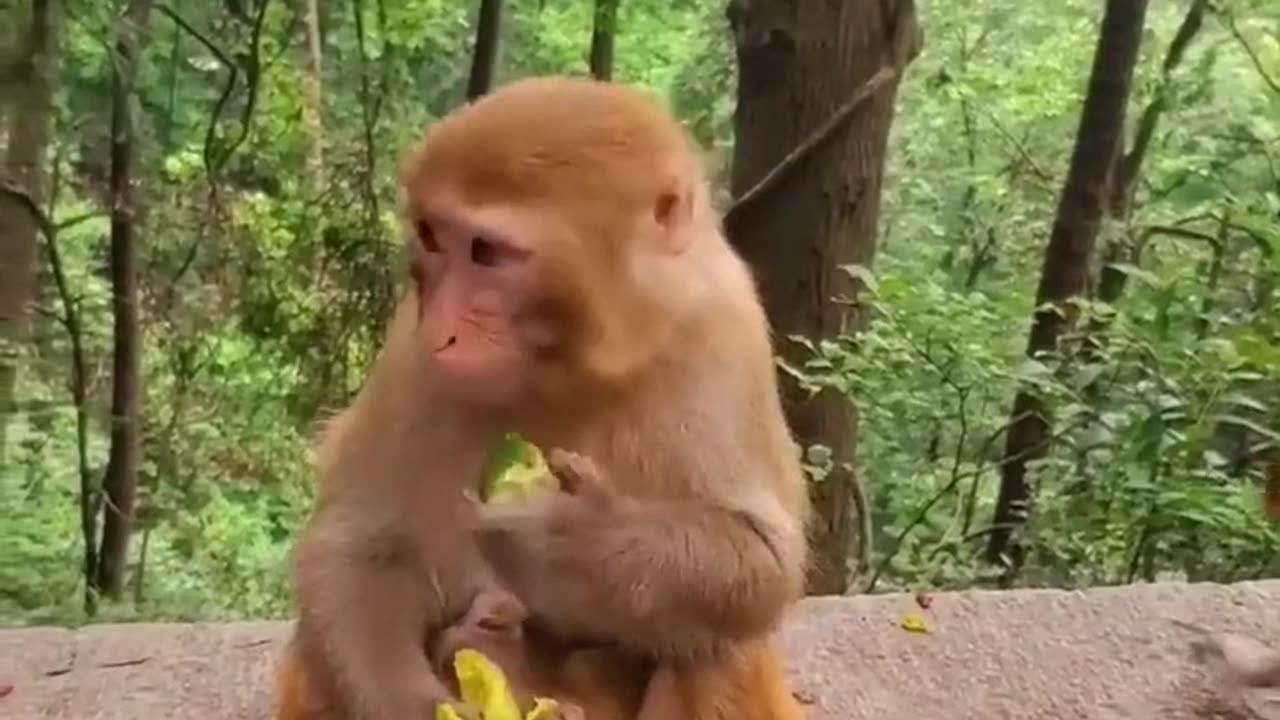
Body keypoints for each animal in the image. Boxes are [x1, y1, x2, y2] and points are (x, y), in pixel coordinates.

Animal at [272, 74, 808, 717]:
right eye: (432, 237)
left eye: (485, 251)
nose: (443, 328)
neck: (573, 365)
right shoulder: (410, 343)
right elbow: (357, 550)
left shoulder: (725, 326)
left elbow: (760, 560)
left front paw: (570, 545)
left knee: (719, 646)